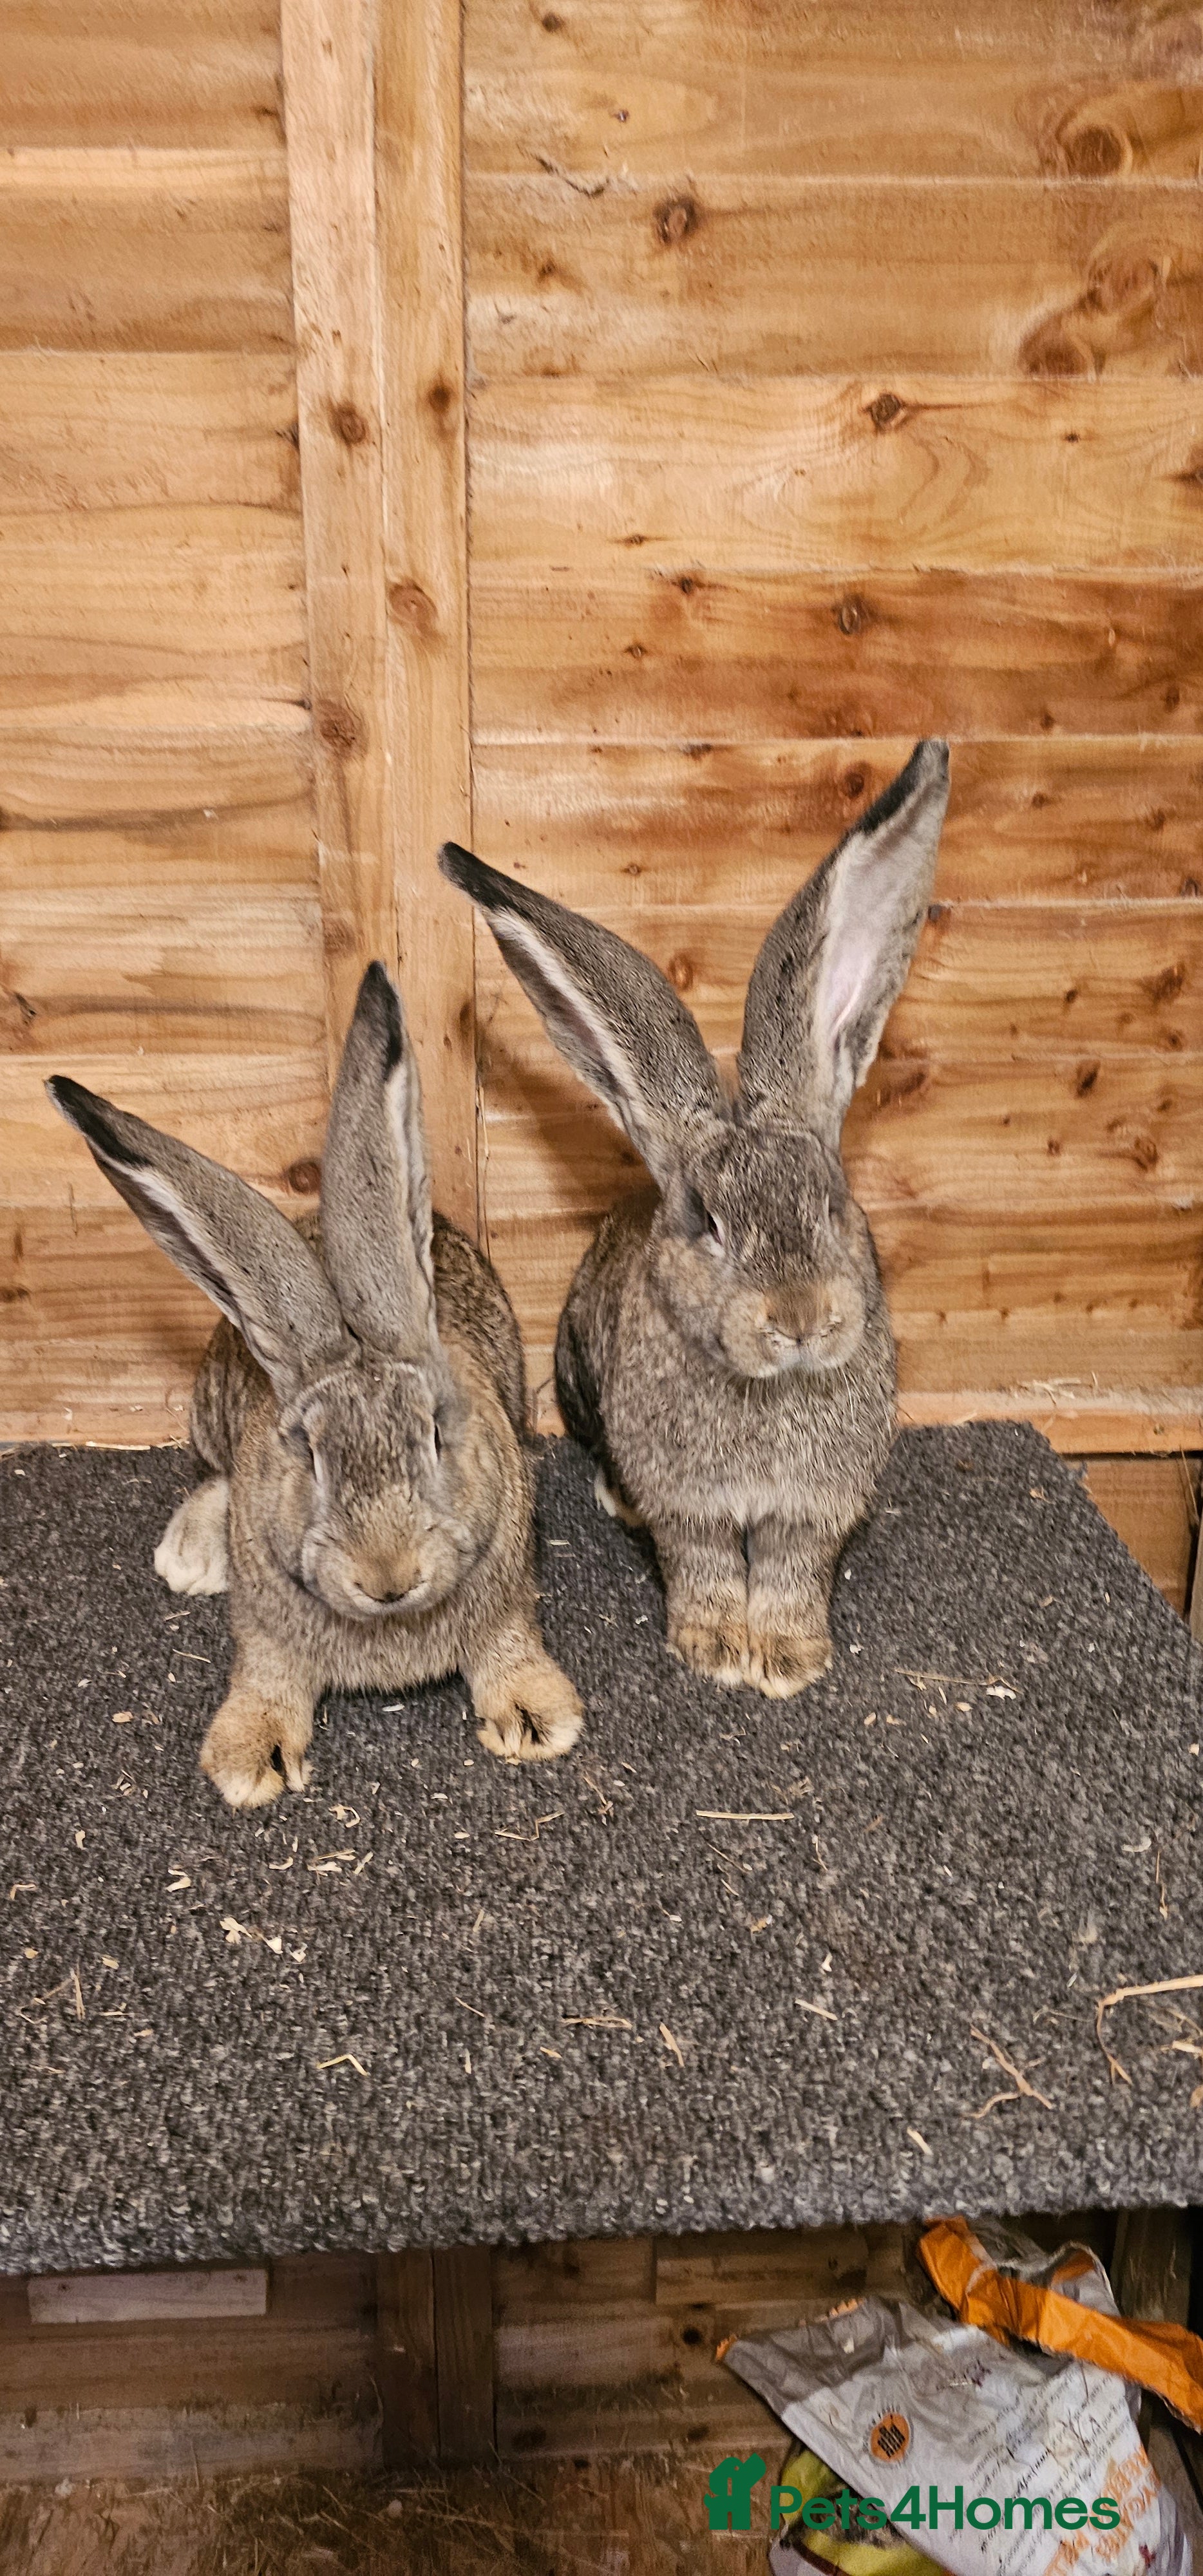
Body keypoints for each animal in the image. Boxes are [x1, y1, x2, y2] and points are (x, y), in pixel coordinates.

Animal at [46, 961, 583, 1806]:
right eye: (307, 1455)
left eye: (436, 1434)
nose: (387, 1576)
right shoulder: (265, 1629)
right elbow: (267, 1676)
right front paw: (248, 1758)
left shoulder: (508, 1598)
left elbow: (508, 1644)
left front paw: (536, 1717)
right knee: (211, 1471)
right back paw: (190, 1558)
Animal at [440, 739, 950, 1701]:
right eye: (706, 1221)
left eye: (831, 1201)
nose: (799, 1319)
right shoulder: (692, 1510)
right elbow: (704, 1565)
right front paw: (713, 1646)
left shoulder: (810, 1514)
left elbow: (791, 1574)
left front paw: (787, 1656)